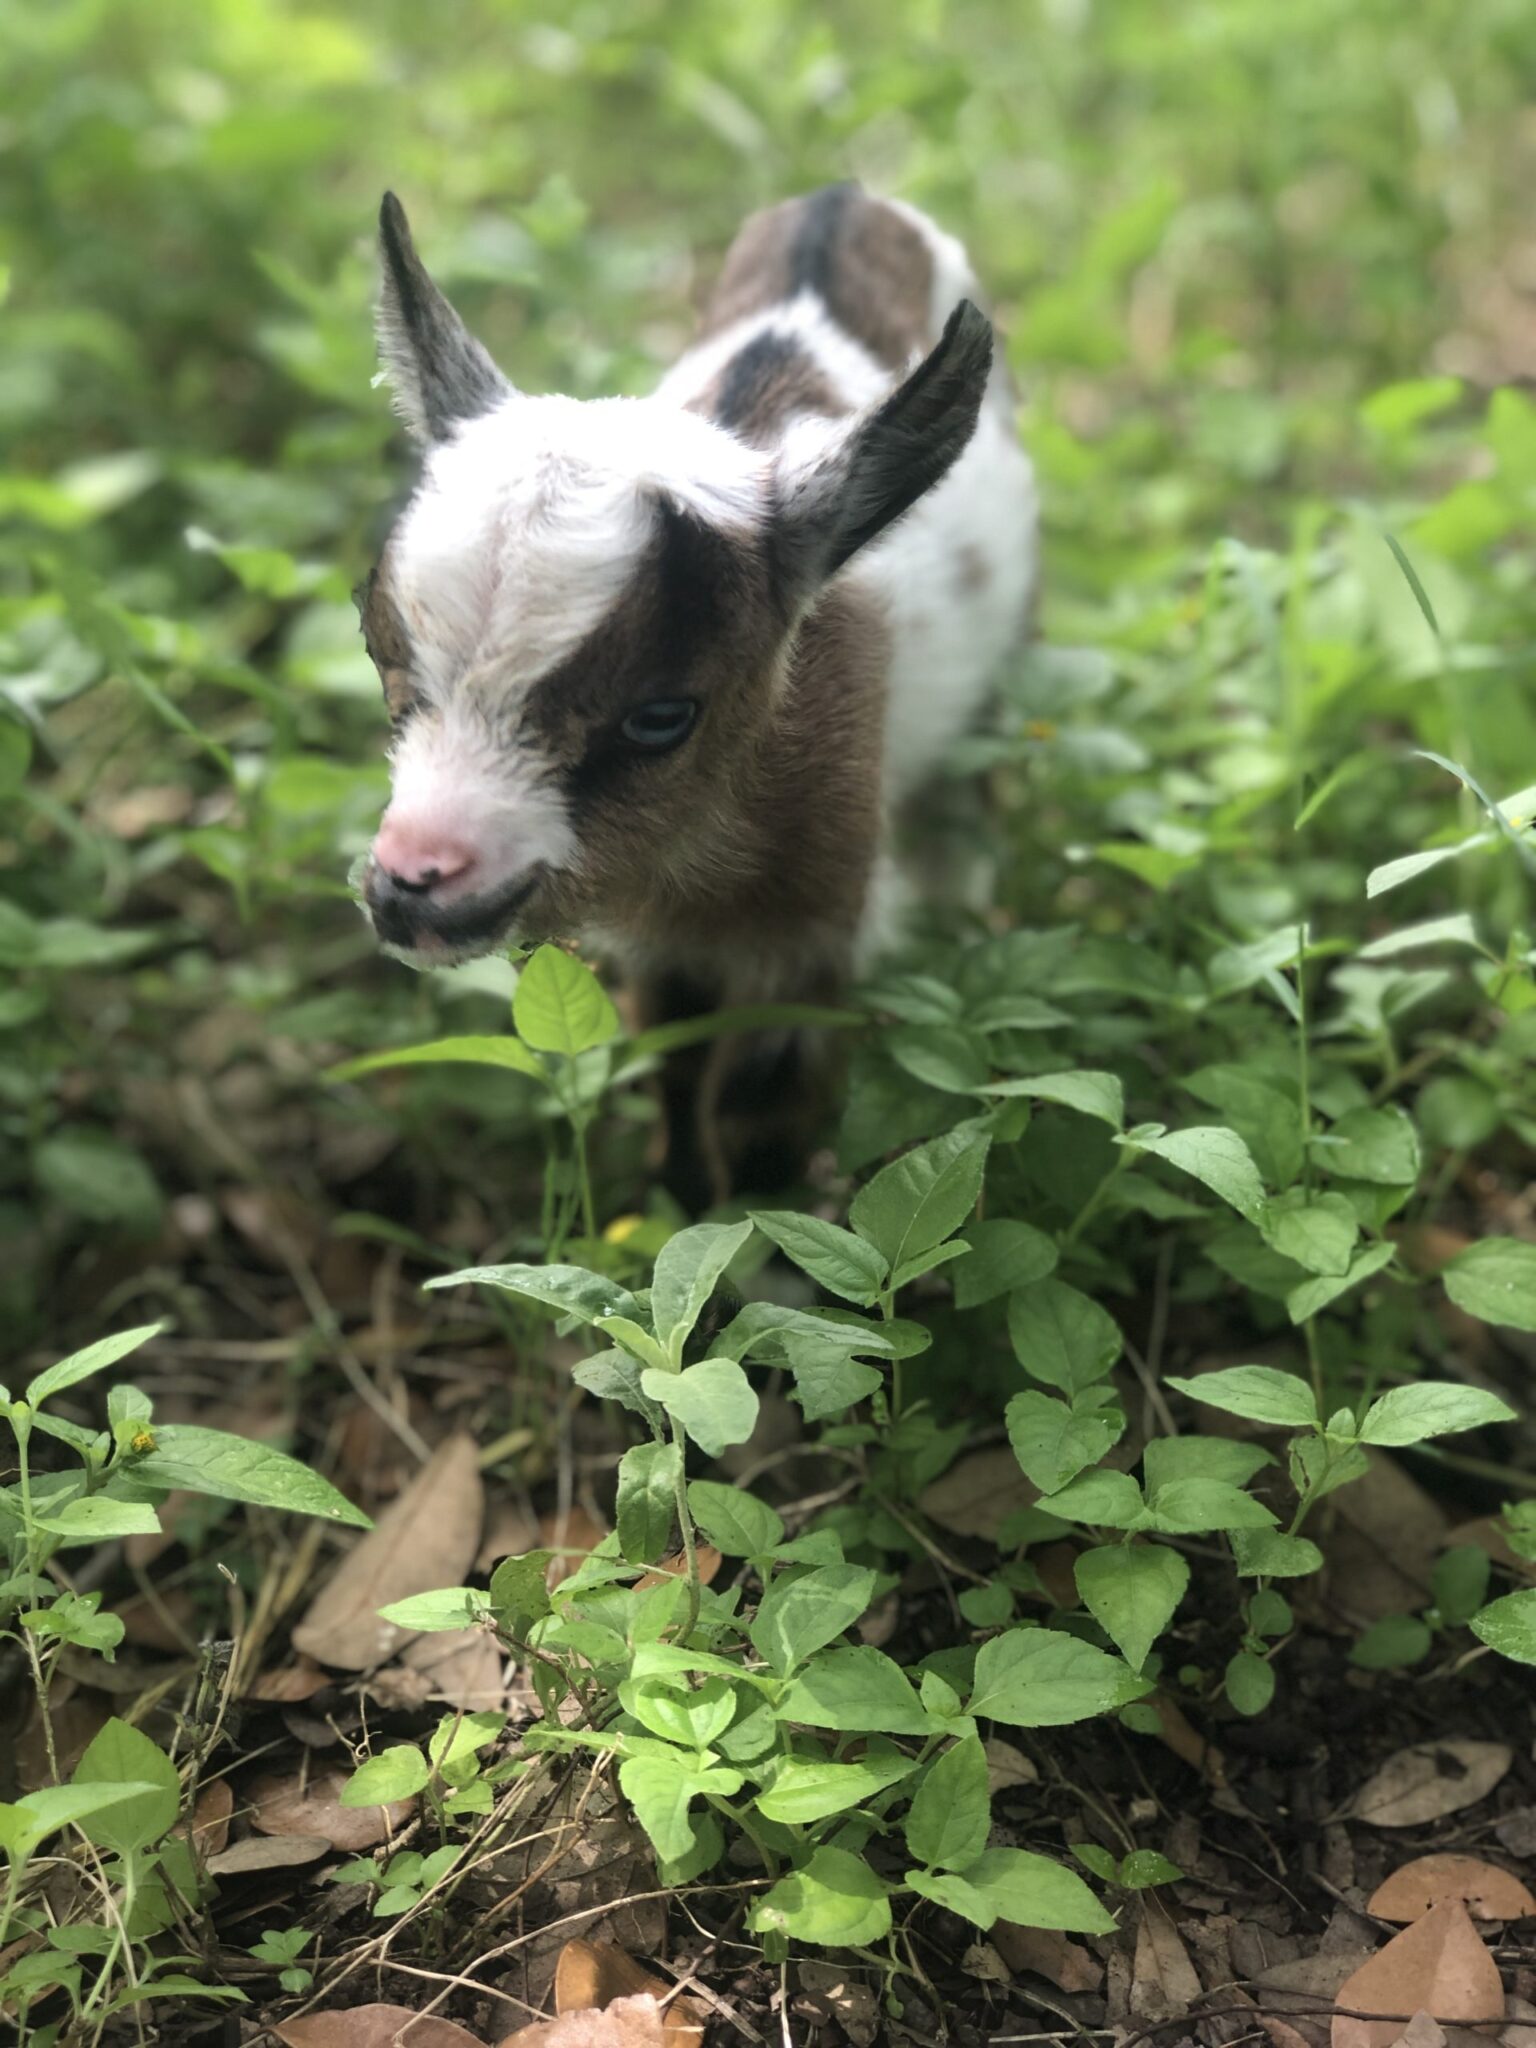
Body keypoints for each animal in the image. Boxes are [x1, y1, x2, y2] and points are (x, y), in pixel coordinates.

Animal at [356, 183, 1039, 1206]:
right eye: (380, 652)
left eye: (661, 716)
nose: (411, 885)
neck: (697, 856)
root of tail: (852, 194)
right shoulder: (666, 948)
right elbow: (676, 1060)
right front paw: (680, 1196)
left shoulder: (815, 927)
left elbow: (764, 1108)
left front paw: (762, 1224)